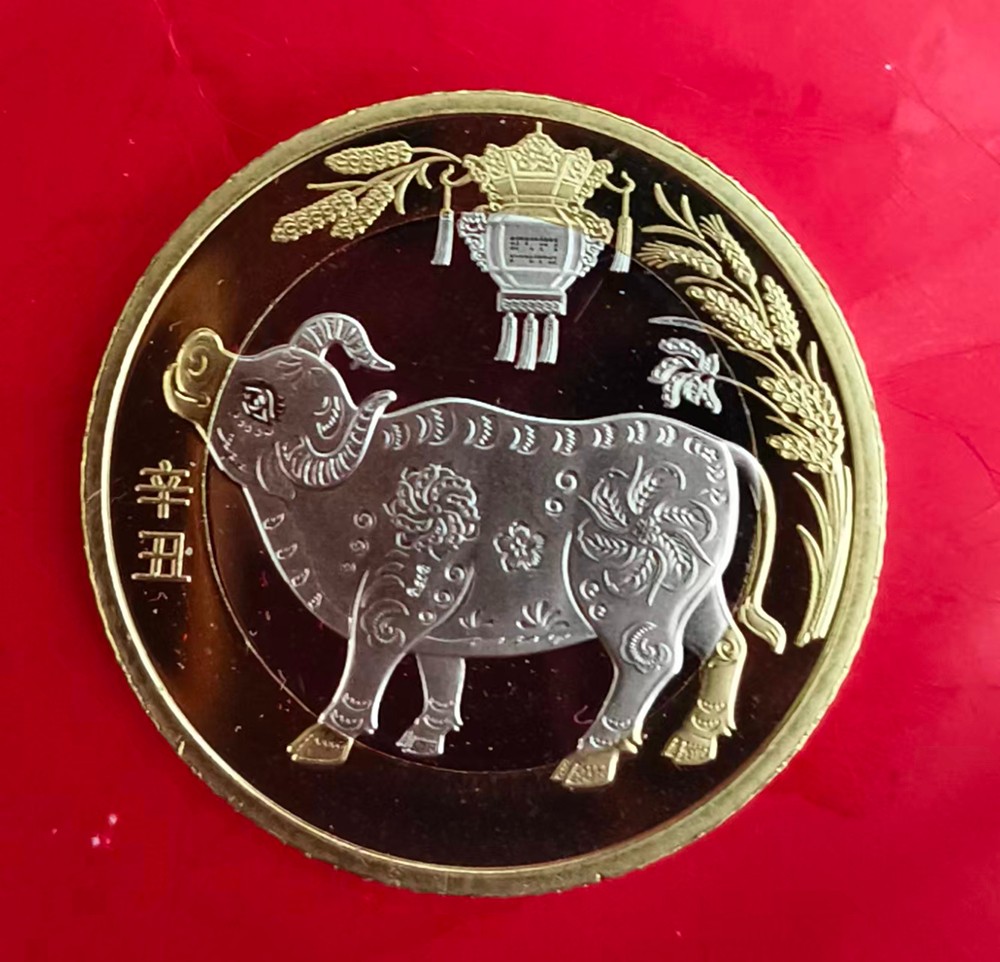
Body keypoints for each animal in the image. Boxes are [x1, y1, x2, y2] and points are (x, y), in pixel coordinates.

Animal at [163, 312, 785, 789]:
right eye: (262, 362)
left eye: (259, 402)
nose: (199, 352)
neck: (356, 475)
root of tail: (724, 449)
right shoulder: (440, 630)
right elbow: (442, 676)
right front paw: (423, 738)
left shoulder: (394, 603)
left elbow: (368, 664)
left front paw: (322, 740)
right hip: (700, 594)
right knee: (725, 646)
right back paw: (693, 744)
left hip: (632, 605)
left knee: (650, 663)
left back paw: (585, 762)